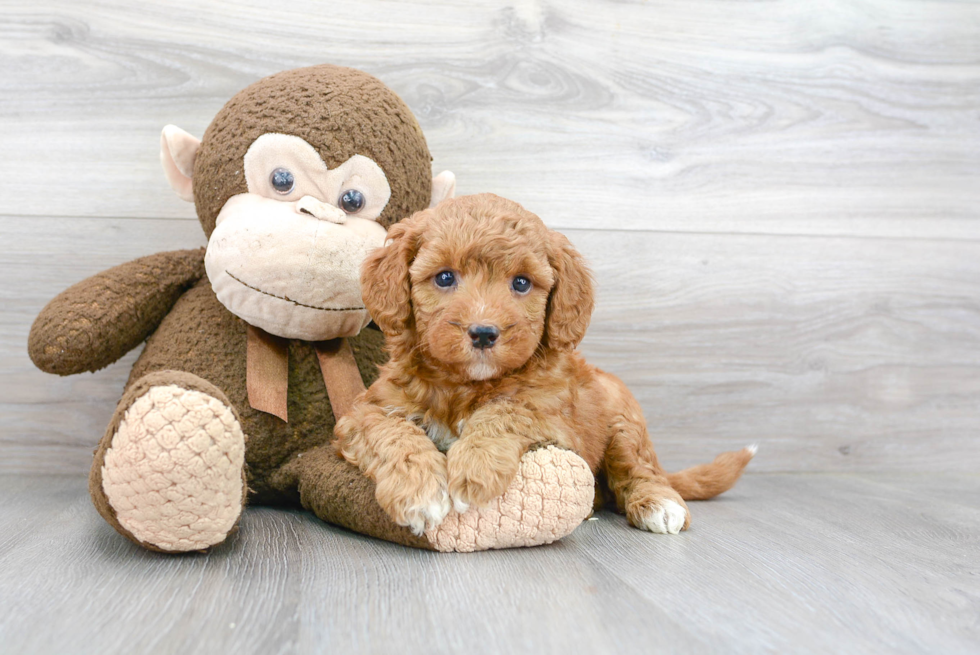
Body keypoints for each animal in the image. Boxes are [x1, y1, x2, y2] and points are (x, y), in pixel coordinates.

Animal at [336, 193, 756, 540]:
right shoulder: (365, 411)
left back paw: (659, 504)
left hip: (623, 419)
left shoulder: (554, 417)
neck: (465, 385)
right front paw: (419, 491)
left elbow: (508, 409)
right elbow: (392, 432)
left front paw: (475, 467)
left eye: (522, 283)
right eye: (444, 277)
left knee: (638, 469)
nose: (484, 333)